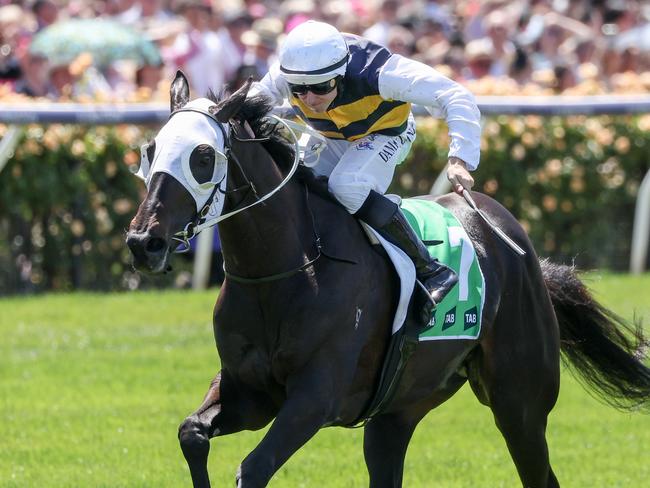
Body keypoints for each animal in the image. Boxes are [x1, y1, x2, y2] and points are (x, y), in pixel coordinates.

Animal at [126, 73, 648, 488]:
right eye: (149, 151)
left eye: (202, 156)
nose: (143, 242)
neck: (283, 271)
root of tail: (521, 247)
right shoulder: (249, 392)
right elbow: (191, 434)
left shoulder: (314, 398)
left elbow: (252, 469)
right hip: (398, 413)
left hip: (520, 402)